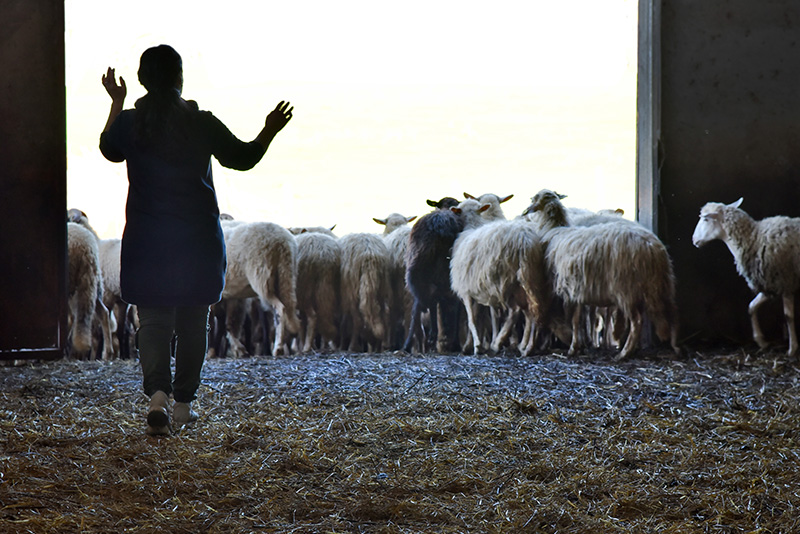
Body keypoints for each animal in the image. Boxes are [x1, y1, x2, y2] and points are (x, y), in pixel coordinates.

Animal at [222, 222, 300, 356]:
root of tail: (282, 242)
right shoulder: (233, 296)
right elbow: (231, 323)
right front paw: (238, 349)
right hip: (286, 275)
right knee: (290, 307)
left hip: (262, 277)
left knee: (280, 309)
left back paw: (278, 348)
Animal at [528, 191, 680, 362]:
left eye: (534, 198)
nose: (527, 210)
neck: (555, 230)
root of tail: (652, 248)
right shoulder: (578, 289)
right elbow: (578, 319)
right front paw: (579, 346)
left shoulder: (569, 290)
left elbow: (573, 320)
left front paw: (573, 348)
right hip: (662, 283)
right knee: (673, 312)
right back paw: (675, 348)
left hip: (626, 288)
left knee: (637, 321)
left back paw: (623, 353)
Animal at [692, 199, 800, 358]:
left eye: (706, 219)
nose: (693, 240)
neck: (754, 240)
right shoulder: (768, 284)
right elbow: (751, 307)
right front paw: (761, 341)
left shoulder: (785, 282)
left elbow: (788, 316)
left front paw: (792, 349)